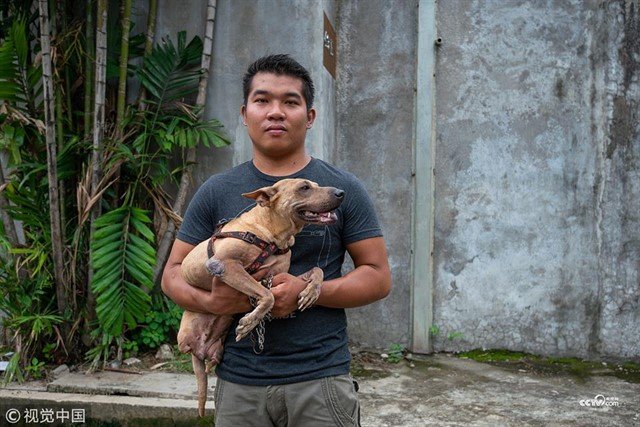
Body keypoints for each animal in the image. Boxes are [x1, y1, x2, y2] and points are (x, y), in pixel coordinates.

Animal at [175, 178, 344, 418]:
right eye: (304, 187)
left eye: (316, 184)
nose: (341, 193)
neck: (271, 234)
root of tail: (199, 350)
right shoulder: (223, 265)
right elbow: (267, 295)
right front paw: (249, 322)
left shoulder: (278, 276)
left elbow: (316, 270)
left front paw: (310, 292)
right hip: (185, 334)